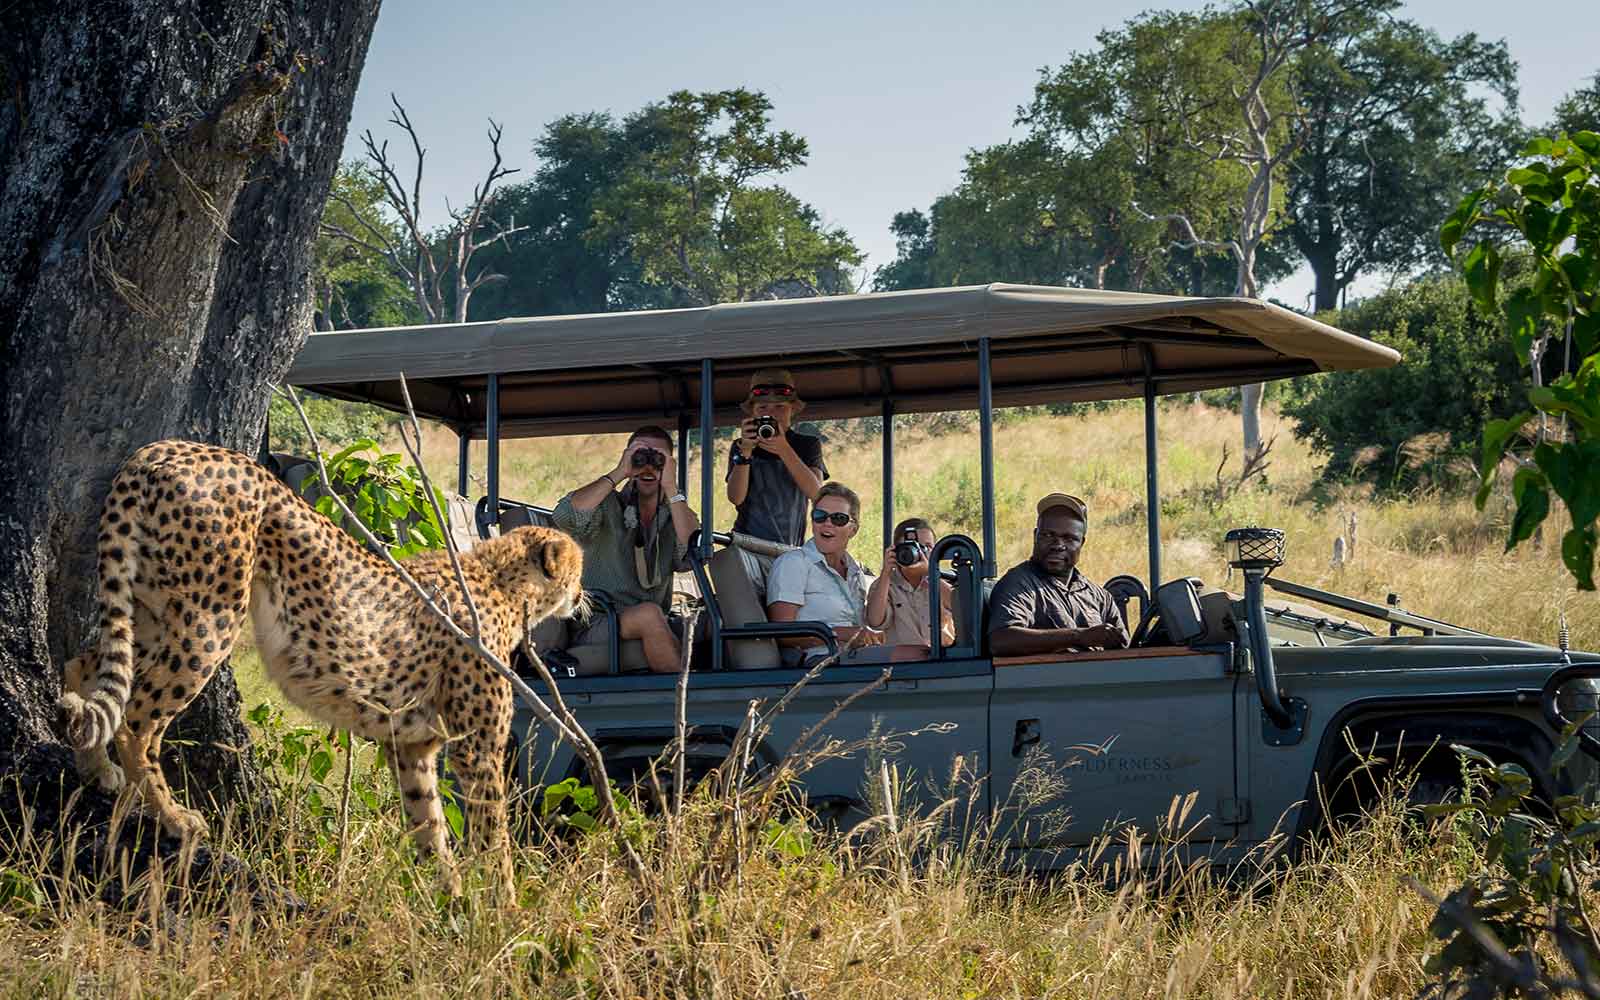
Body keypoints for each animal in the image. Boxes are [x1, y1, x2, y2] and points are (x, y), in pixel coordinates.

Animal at [57, 438, 583, 896]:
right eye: (577, 568)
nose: (582, 596)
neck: (499, 580)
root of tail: (166, 448)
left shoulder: (411, 745)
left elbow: (428, 821)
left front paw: (448, 895)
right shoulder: (477, 749)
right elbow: (492, 833)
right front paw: (502, 909)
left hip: (150, 608)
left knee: (84, 667)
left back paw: (95, 767)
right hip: (208, 617)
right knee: (136, 721)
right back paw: (174, 817)